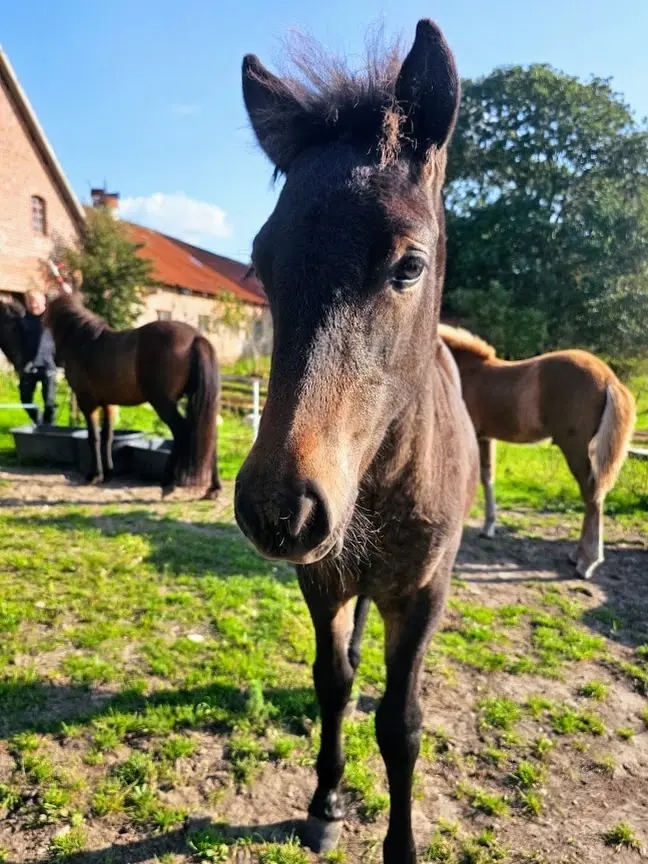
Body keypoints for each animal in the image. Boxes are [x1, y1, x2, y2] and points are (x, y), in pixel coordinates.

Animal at [45, 290, 221, 496]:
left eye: (46, 318)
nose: (56, 360)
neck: (85, 342)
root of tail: (195, 338)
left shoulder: (87, 402)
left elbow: (93, 437)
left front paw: (94, 475)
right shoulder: (109, 404)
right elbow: (107, 436)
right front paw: (108, 473)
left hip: (163, 402)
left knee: (182, 431)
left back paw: (169, 481)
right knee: (208, 435)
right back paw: (213, 488)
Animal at [235, 20, 478, 864]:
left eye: (410, 264)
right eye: (262, 261)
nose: (278, 511)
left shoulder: (425, 591)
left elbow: (401, 724)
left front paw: (400, 845)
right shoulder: (322, 578)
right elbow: (332, 680)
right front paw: (324, 804)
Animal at [438, 324, 636, 580]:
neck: (466, 371)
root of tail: (609, 379)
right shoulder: (485, 437)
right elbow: (487, 477)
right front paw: (488, 526)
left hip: (576, 449)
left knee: (592, 496)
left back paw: (586, 562)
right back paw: (577, 556)